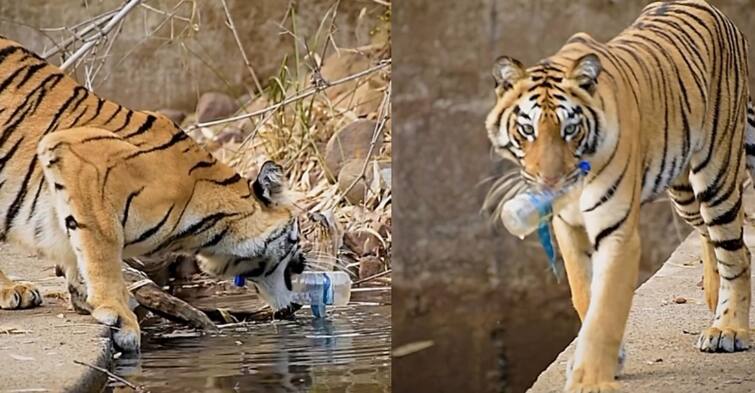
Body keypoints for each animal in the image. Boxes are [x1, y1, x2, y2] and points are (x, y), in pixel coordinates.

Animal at [0, 35, 308, 350]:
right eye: (296, 239)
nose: (303, 264)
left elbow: (77, 248)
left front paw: (85, 297)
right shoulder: (77, 158)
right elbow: (101, 249)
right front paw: (119, 315)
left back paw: (14, 290)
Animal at [488, 1, 752, 390]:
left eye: (570, 129)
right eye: (527, 129)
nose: (550, 180)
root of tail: (711, 8)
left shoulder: (618, 232)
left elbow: (606, 307)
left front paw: (590, 378)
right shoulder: (568, 228)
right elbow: (585, 294)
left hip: (716, 175)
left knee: (735, 252)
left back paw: (728, 329)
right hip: (683, 192)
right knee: (714, 238)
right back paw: (713, 298)